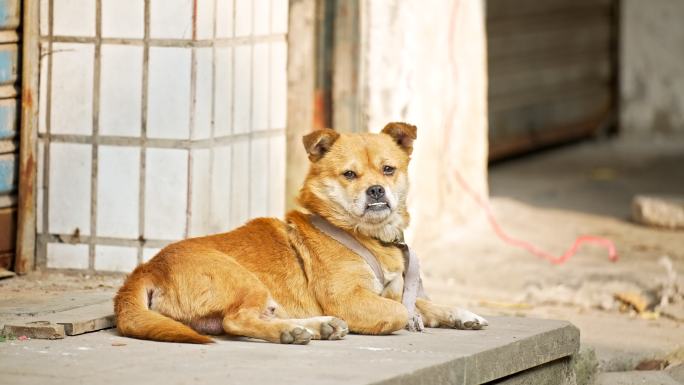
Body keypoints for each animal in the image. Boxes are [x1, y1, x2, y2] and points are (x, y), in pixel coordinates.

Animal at [115, 121, 486, 344]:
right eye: (349, 174)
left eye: (388, 169)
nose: (377, 190)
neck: (365, 235)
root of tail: (144, 269)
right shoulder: (349, 299)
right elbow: (399, 312)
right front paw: (413, 319)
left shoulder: (392, 291)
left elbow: (423, 303)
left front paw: (461, 315)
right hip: (243, 279)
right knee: (236, 321)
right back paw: (292, 332)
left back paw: (317, 326)